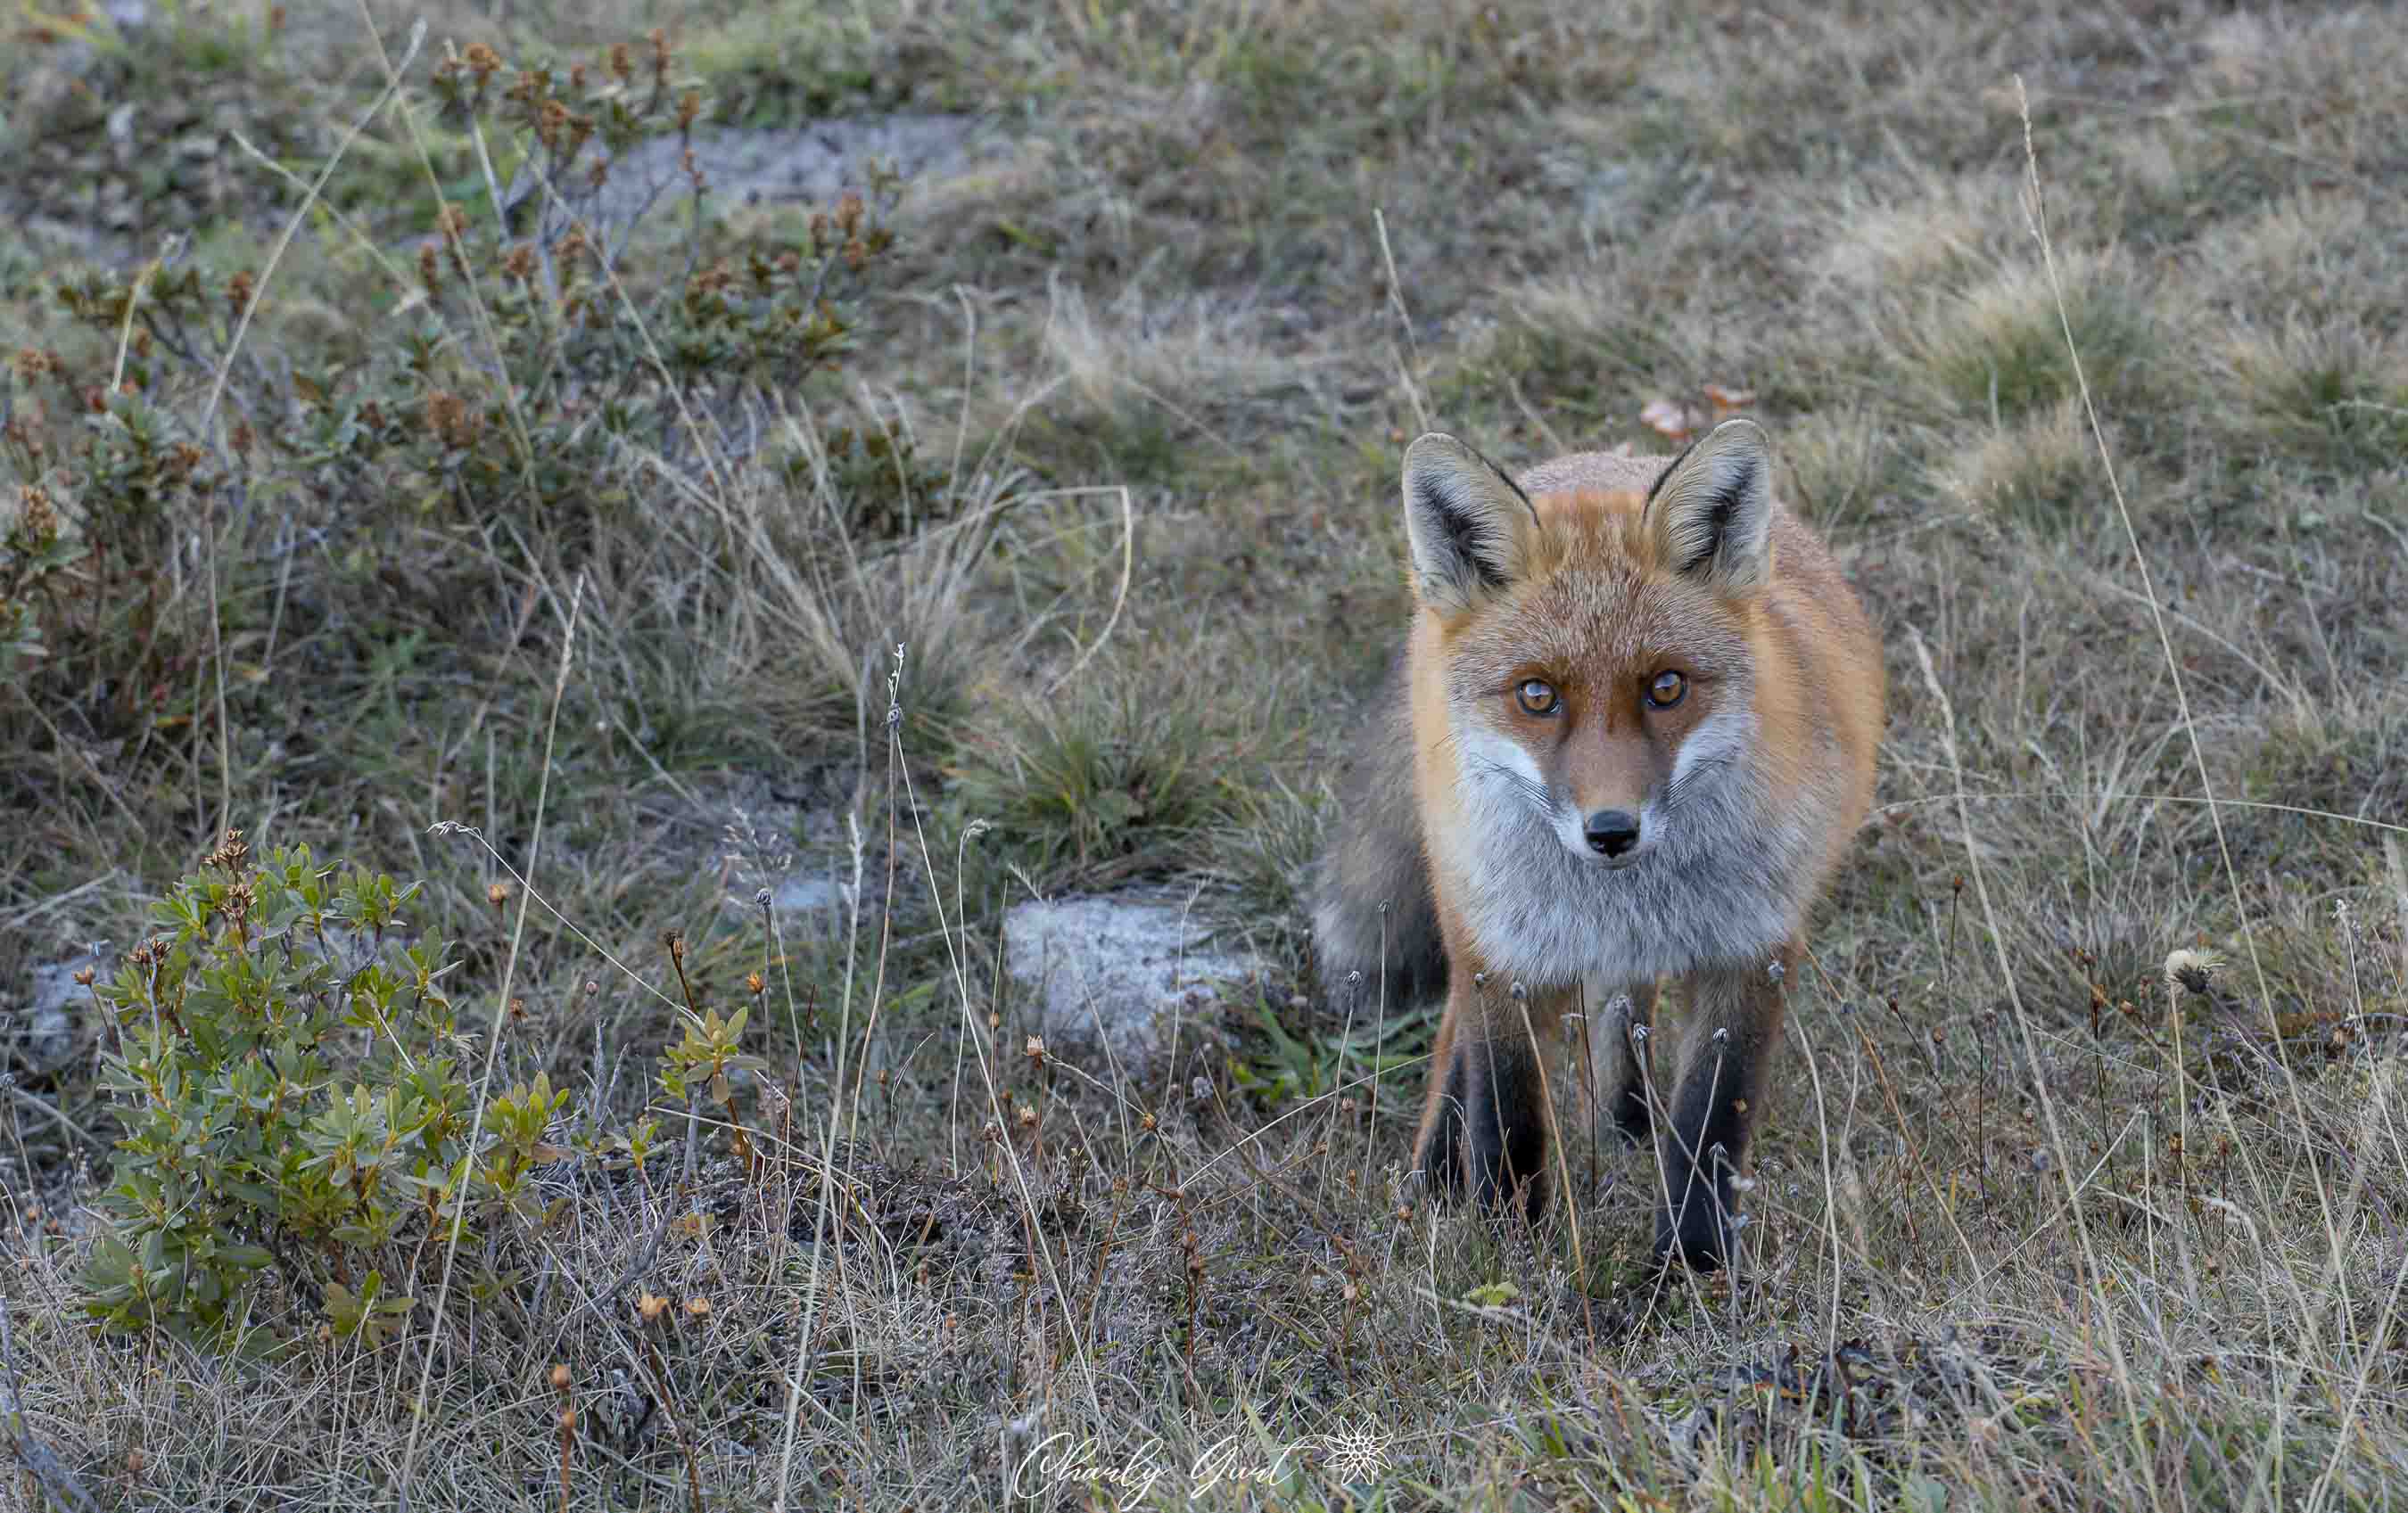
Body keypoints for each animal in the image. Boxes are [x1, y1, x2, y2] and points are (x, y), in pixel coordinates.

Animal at [1309, 418, 1887, 1270]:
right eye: (1537, 695)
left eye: (1667, 687)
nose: (1612, 829)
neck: (1619, 897)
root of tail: (1593, 462)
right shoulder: (1504, 958)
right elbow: (1506, 1113)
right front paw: (1509, 1249)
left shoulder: (1751, 951)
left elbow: (1710, 1126)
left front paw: (1690, 1267)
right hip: (1474, 909)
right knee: (1454, 1041)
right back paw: (1435, 1173)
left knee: (1622, 1018)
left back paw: (1623, 1128)